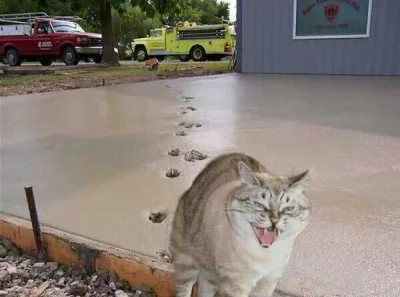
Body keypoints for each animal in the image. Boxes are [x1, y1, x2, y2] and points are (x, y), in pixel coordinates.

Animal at [169, 153, 312, 296]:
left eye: (288, 209)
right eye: (260, 205)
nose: (274, 220)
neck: (264, 255)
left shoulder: (268, 282)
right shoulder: (235, 285)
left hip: (209, 273)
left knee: (205, 289)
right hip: (186, 261)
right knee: (185, 287)